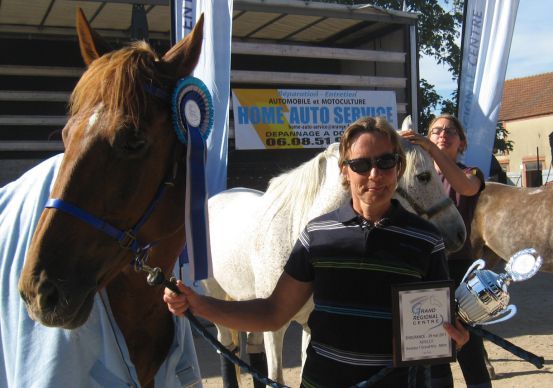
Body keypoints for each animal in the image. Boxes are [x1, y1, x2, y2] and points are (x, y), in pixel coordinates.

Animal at [205, 140, 464, 384]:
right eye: (423, 176)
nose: (459, 232)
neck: (296, 236)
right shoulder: (274, 328)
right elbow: (275, 377)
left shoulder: (310, 325)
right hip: (217, 295)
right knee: (225, 346)